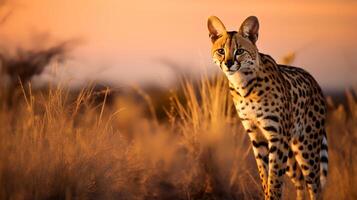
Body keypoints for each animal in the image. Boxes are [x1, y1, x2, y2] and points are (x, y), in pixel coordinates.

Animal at [207, 16, 326, 200]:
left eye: (239, 51)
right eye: (221, 50)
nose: (228, 63)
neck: (244, 85)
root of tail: (314, 80)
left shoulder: (277, 136)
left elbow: (275, 177)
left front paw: (273, 194)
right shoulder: (257, 136)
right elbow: (265, 174)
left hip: (306, 146)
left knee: (315, 185)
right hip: (291, 148)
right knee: (299, 178)